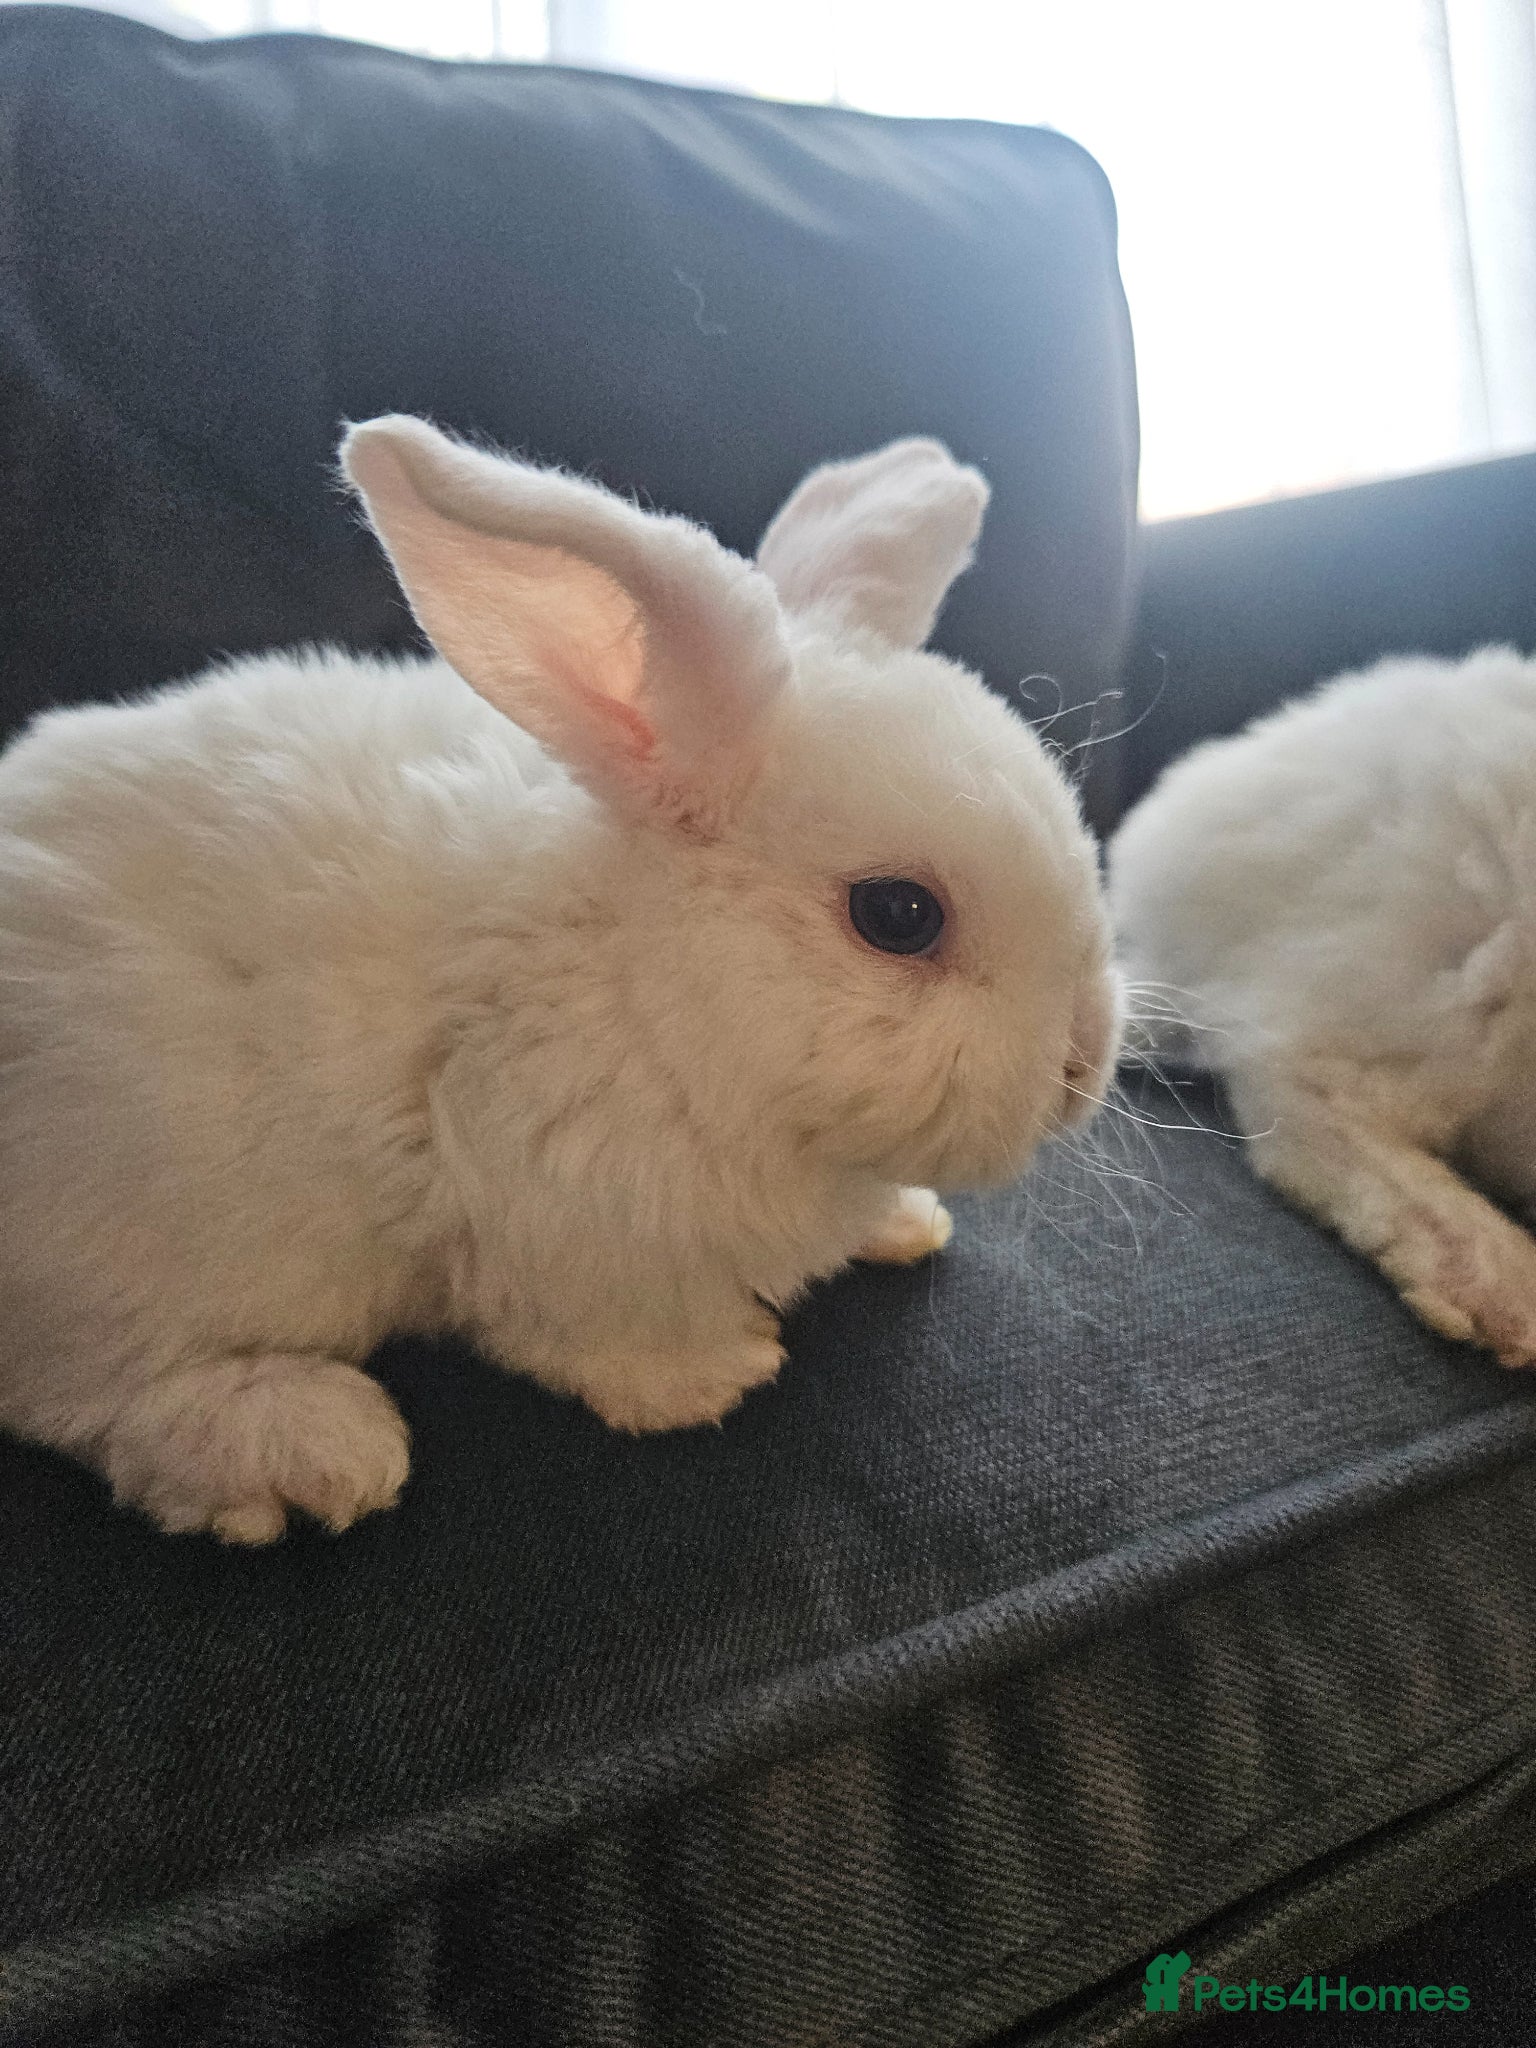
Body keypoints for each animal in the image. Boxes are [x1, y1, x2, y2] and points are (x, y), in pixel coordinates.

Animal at [0, 419, 1121, 1542]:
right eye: (898, 916)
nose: (1079, 1068)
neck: (638, 983)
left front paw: (906, 1224)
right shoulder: (555, 1217)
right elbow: (589, 1336)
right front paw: (712, 1377)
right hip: (163, 1239)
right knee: (96, 1397)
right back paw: (317, 1445)